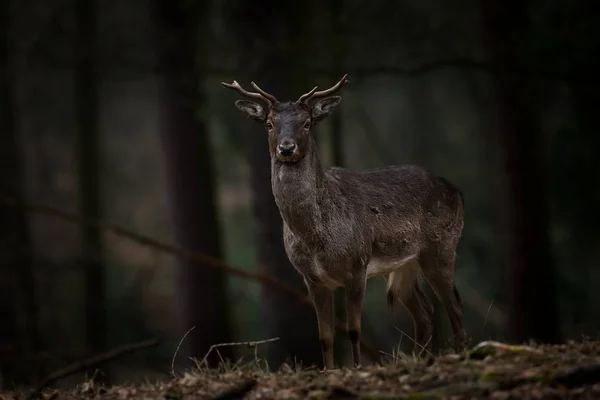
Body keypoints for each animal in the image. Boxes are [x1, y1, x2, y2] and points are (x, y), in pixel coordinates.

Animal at [223, 74, 466, 368]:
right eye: (269, 124)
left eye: (307, 123)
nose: (287, 148)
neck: (316, 239)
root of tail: (457, 191)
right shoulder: (311, 279)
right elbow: (325, 336)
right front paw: (330, 370)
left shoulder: (357, 266)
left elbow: (353, 330)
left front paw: (358, 367)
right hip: (406, 266)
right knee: (426, 313)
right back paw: (422, 359)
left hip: (441, 249)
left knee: (455, 307)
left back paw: (461, 354)